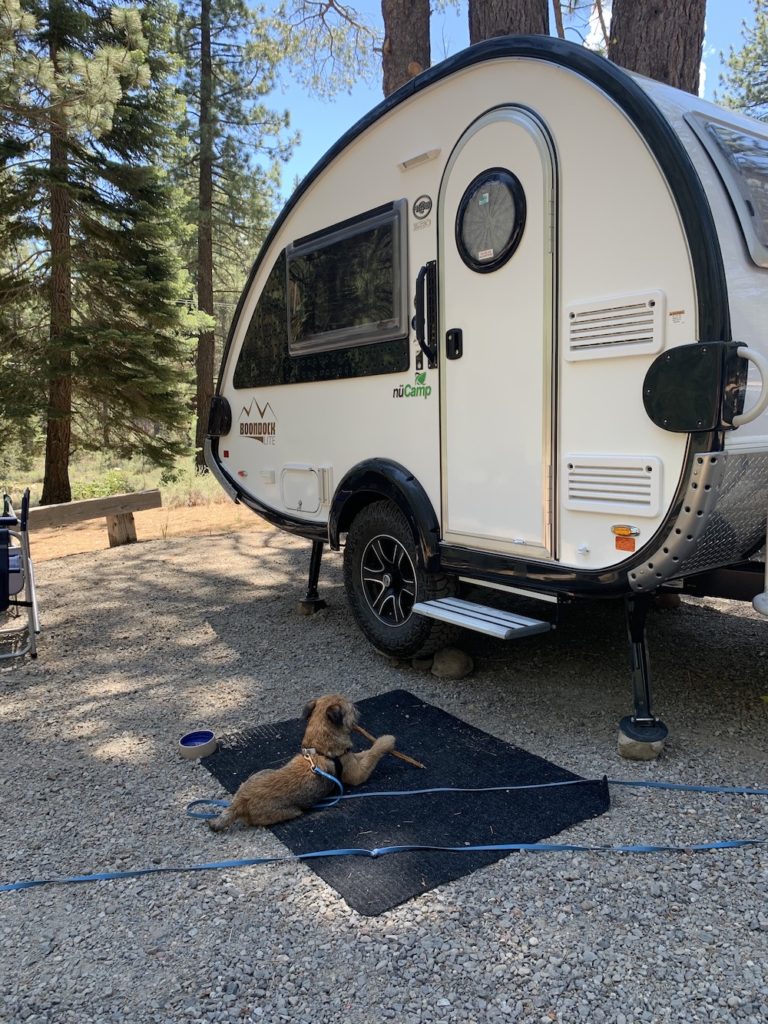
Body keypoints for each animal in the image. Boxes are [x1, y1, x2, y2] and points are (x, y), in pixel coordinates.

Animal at [207, 696, 393, 831]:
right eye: (351, 709)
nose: (357, 708)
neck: (320, 746)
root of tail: (241, 801)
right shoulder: (357, 775)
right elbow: (373, 753)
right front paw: (387, 741)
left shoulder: (351, 759)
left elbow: (363, 754)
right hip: (291, 811)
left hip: (260, 773)